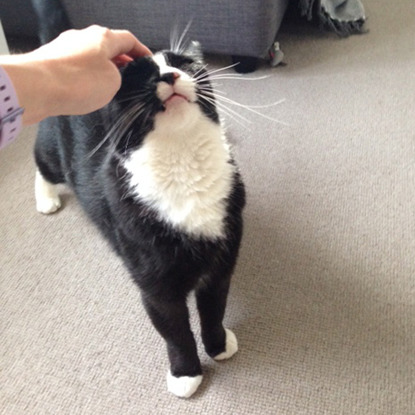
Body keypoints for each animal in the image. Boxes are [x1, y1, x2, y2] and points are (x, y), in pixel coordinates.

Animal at [35, 0, 247, 404]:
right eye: (137, 77)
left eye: (185, 63)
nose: (169, 75)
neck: (183, 164)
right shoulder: (155, 284)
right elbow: (174, 330)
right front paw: (185, 373)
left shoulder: (222, 261)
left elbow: (215, 307)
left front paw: (217, 345)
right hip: (52, 149)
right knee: (42, 165)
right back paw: (46, 198)